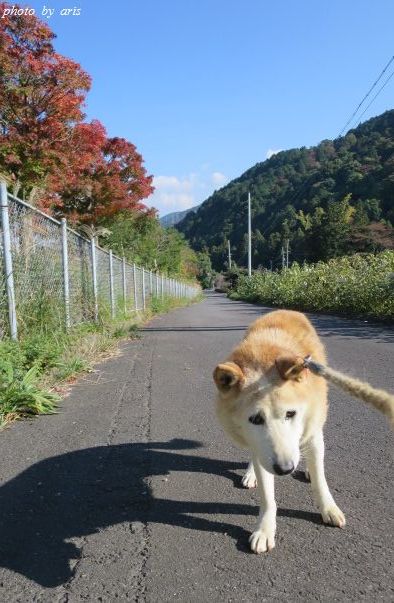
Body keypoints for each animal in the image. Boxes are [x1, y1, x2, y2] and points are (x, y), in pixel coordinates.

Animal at [212, 310, 344, 556]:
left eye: (290, 414)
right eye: (256, 419)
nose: (285, 469)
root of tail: (285, 309)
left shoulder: (312, 432)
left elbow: (320, 480)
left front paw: (328, 507)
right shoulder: (264, 451)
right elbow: (268, 498)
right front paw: (265, 530)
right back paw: (251, 473)